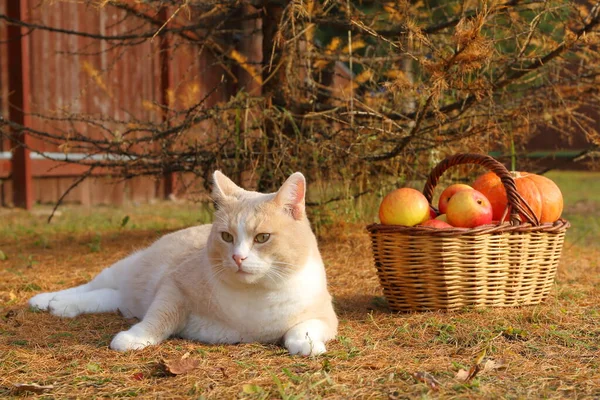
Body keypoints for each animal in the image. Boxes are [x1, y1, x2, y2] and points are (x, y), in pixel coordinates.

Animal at [28, 171, 338, 356]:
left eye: (262, 237)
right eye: (227, 237)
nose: (237, 257)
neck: (255, 297)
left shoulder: (326, 317)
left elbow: (303, 329)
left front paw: (306, 344)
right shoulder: (173, 286)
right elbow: (158, 318)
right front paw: (133, 338)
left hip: (125, 298)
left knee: (106, 297)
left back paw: (62, 307)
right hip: (122, 270)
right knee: (89, 287)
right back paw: (47, 300)